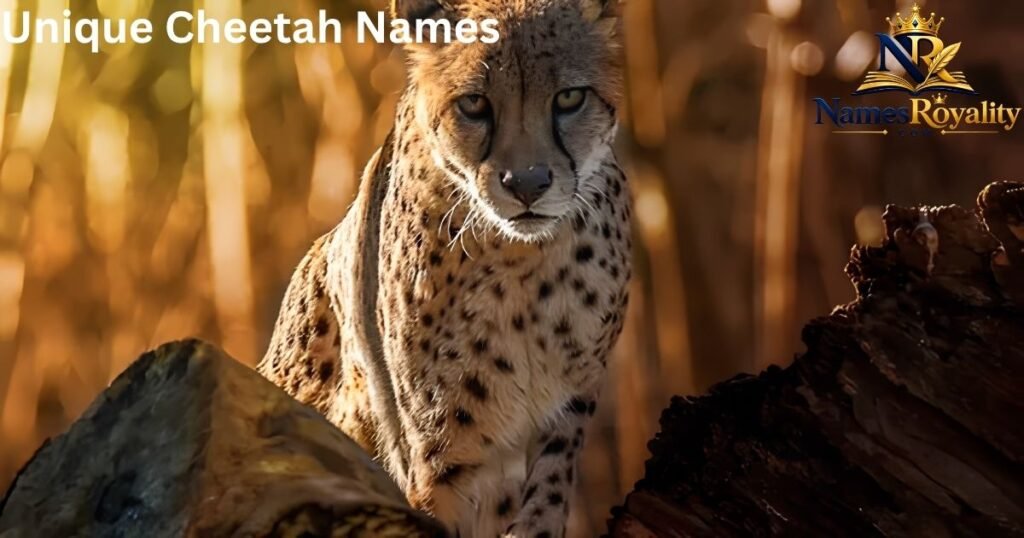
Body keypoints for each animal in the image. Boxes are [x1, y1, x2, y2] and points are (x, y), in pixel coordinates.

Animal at [258, 0, 631, 536]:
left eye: (569, 98)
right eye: (474, 104)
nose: (528, 183)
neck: (522, 264)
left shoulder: (565, 412)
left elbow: (543, 505)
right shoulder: (441, 450)